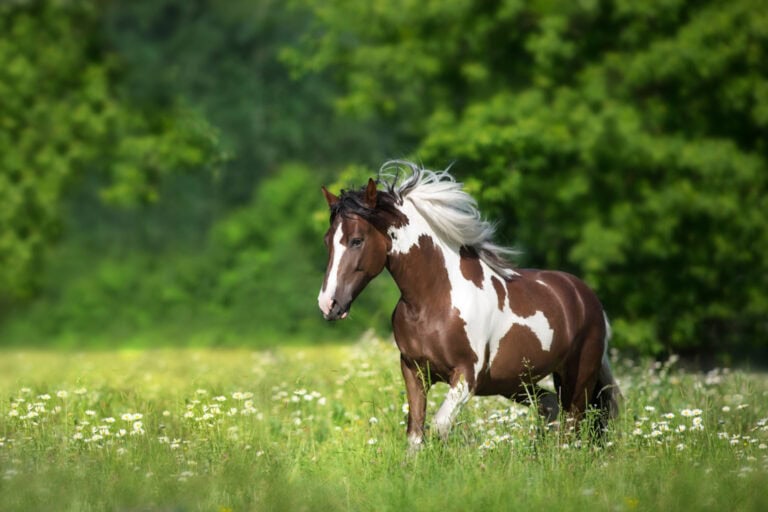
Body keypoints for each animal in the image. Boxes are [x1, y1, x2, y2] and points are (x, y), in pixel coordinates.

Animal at [318, 160, 620, 450]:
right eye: (327, 241)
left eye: (357, 240)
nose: (328, 304)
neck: (434, 302)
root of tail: (587, 297)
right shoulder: (414, 371)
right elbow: (415, 433)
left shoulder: (466, 376)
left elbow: (439, 426)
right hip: (517, 382)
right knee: (549, 408)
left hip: (578, 379)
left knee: (573, 425)